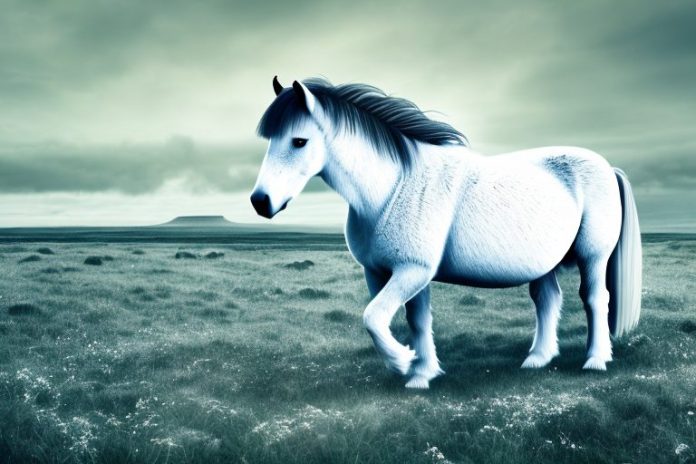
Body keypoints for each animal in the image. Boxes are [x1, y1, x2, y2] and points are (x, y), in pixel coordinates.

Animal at [250, 76, 642, 389]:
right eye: (271, 140)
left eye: (299, 141)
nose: (260, 201)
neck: (393, 188)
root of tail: (607, 167)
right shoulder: (385, 273)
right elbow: (413, 321)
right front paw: (422, 375)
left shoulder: (412, 271)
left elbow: (374, 318)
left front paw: (403, 361)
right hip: (543, 263)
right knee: (547, 301)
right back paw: (537, 359)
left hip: (593, 256)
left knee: (595, 300)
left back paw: (595, 360)